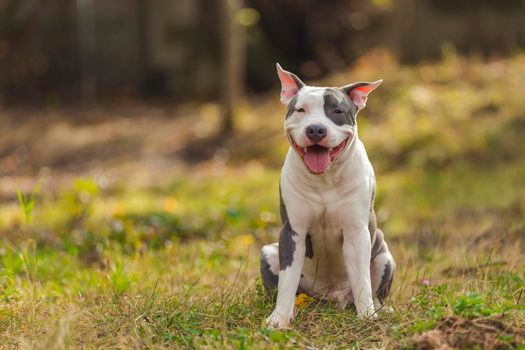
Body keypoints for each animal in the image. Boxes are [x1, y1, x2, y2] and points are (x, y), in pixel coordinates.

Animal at [260, 64, 396, 330]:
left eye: (337, 111)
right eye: (301, 110)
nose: (315, 129)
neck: (324, 180)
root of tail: (334, 298)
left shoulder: (356, 233)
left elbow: (362, 279)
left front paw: (367, 316)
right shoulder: (293, 232)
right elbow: (287, 281)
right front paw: (279, 319)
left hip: (384, 255)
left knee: (374, 289)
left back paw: (380, 309)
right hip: (268, 253)